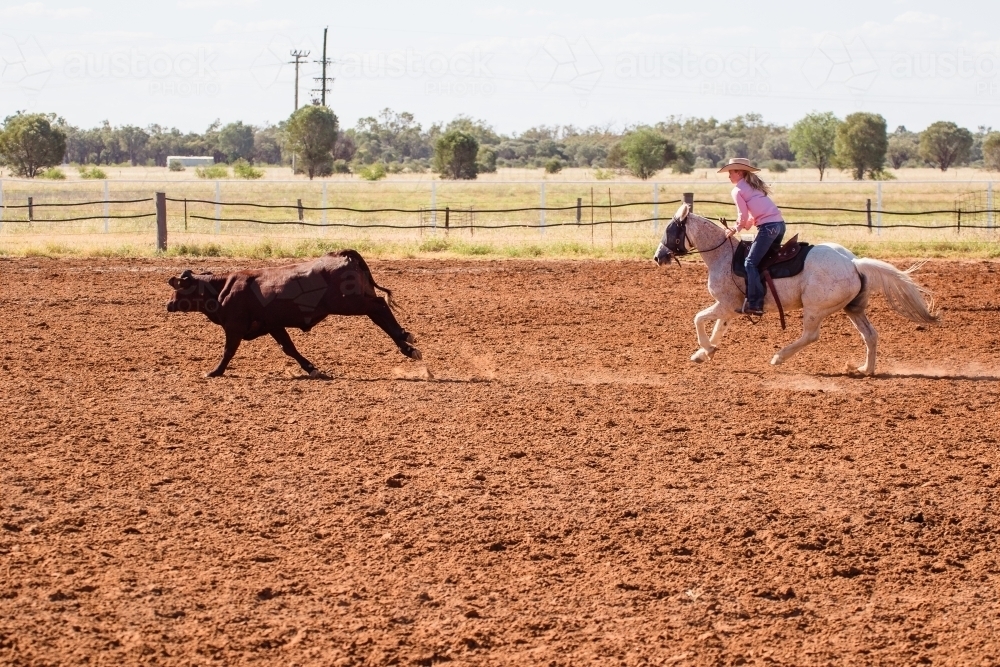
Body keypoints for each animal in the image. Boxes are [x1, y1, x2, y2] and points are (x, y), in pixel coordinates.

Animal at [167, 249, 422, 376]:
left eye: (179, 287)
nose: (168, 304)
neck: (223, 287)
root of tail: (341, 255)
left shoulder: (234, 326)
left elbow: (228, 351)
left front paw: (215, 371)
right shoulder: (273, 325)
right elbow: (289, 348)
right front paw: (313, 369)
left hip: (350, 304)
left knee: (379, 306)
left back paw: (404, 338)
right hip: (357, 301)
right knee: (379, 313)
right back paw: (407, 346)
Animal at [652, 205, 932, 376]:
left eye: (670, 230)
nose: (658, 257)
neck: (723, 256)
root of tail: (853, 263)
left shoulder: (725, 305)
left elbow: (698, 319)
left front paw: (705, 350)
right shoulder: (730, 309)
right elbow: (717, 329)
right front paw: (704, 353)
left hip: (815, 309)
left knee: (811, 336)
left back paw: (779, 357)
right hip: (852, 310)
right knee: (870, 335)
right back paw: (865, 369)